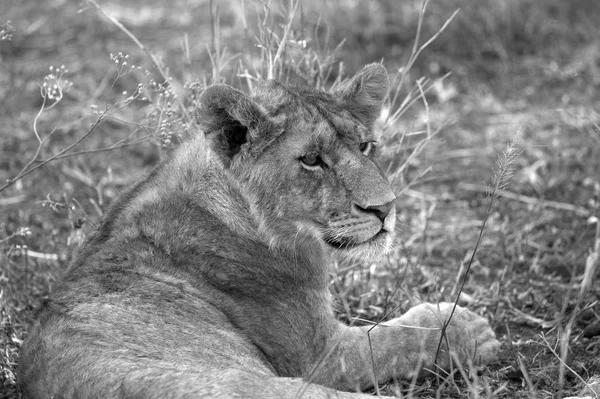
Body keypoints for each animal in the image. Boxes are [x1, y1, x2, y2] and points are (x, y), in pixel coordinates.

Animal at [16, 64, 500, 398]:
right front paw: (468, 328)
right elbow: (396, 338)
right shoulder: (320, 357)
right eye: (312, 160)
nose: (385, 208)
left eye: (366, 146)